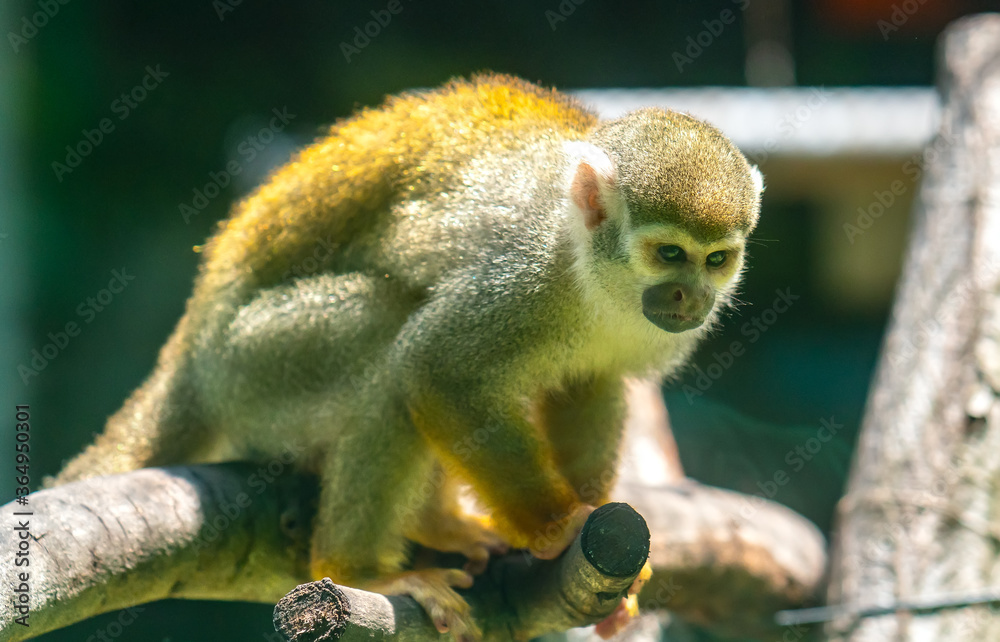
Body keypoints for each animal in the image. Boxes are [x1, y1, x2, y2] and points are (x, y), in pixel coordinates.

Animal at [53, 73, 763, 640]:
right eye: (668, 253)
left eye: (716, 259)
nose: (691, 297)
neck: (591, 271)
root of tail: (190, 354)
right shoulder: (524, 276)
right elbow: (436, 365)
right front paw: (557, 526)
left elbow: (589, 383)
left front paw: (611, 581)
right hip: (250, 367)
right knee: (386, 342)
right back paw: (359, 571)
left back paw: (433, 523)